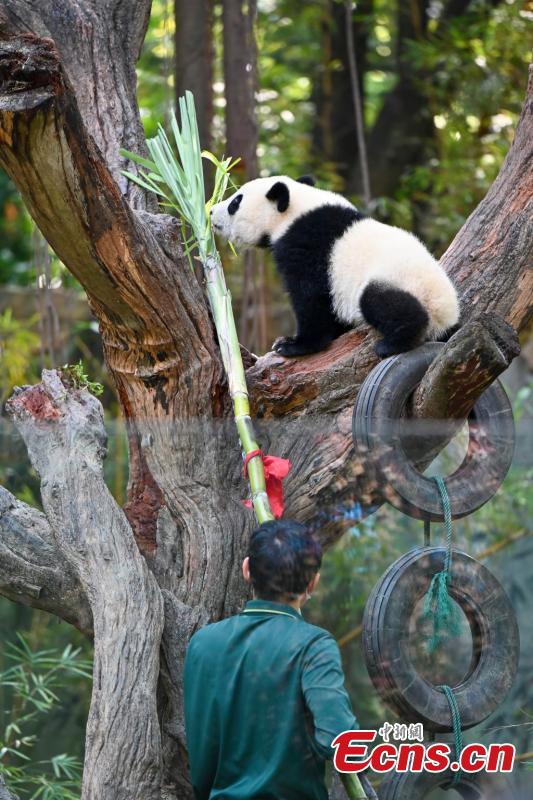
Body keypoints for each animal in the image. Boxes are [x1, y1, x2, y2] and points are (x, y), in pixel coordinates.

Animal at [211, 175, 460, 358]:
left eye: (235, 202)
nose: (211, 211)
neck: (297, 210)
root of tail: (446, 316)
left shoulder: (306, 245)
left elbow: (311, 298)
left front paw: (292, 344)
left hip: (401, 282)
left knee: (382, 302)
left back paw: (394, 342)